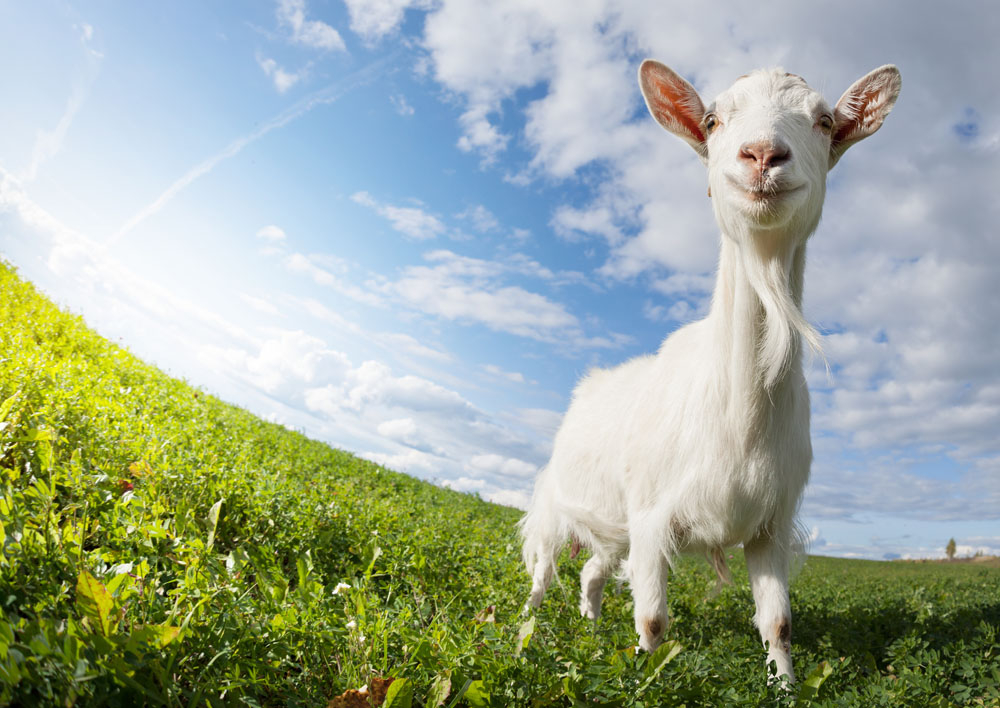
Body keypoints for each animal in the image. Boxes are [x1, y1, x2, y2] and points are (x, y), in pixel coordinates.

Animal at [520, 63, 904, 684]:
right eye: (712, 120)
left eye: (825, 121)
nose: (763, 155)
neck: (738, 411)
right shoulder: (651, 518)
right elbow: (653, 619)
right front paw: (645, 678)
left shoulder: (770, 525)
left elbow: (779, 623)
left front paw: (785, 685)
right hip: (560, 503)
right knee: (543, 570)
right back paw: (524, 631)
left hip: (611, 526)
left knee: (592, 572)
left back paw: (592, 627)